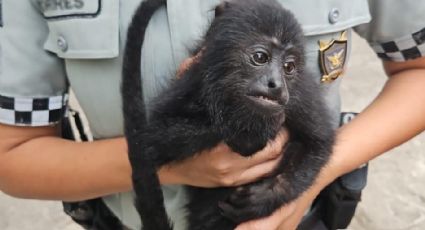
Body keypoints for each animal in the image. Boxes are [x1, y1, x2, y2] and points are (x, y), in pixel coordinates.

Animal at [120, 0, 334, 230]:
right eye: (260, 57)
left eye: (289, 67)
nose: (276, 85)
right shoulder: (196, 78)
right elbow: (155, 138)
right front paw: (249, 133)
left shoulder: (300, 96)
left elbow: (319, 142)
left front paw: (265, 197)